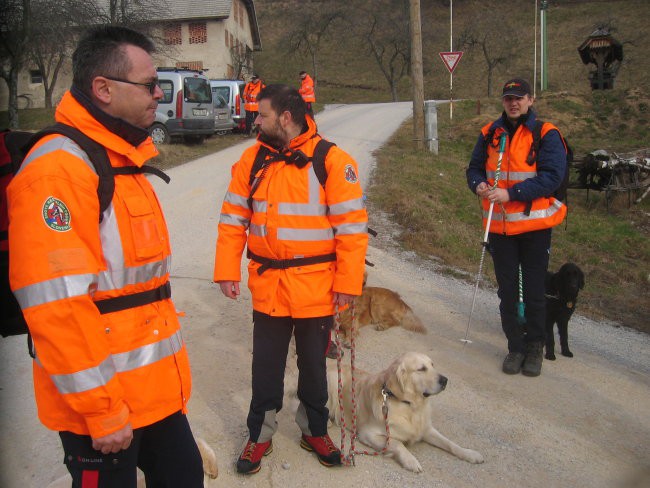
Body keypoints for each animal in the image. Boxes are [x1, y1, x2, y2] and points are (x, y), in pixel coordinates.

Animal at [326, 350, 484, 472]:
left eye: (432, 365)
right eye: (421, 369)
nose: (445, 380)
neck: (410, 406)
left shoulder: (426, 429)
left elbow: (450, 443)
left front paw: (470, 454)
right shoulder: (367, 434)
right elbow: (398, 443)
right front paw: (411, 461)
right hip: (334, 381)